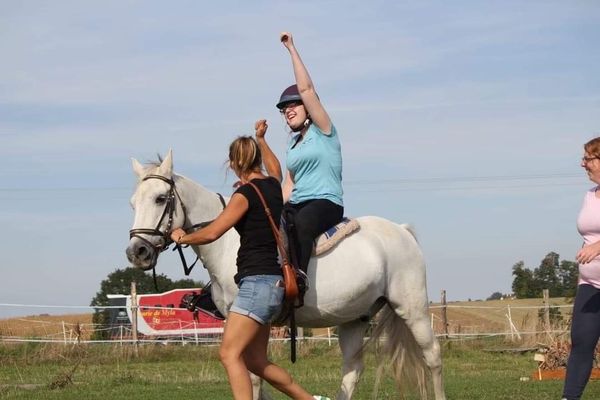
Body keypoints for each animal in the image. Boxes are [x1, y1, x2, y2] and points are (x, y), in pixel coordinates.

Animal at [125, 151, 446, 400]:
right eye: (132, 203)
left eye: (160, 198)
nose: (136, 251)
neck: (230, 240)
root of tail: (402, 230)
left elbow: (254, 378)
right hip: (354, 318)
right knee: (352, 369)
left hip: (412, 309)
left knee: (433, 356)